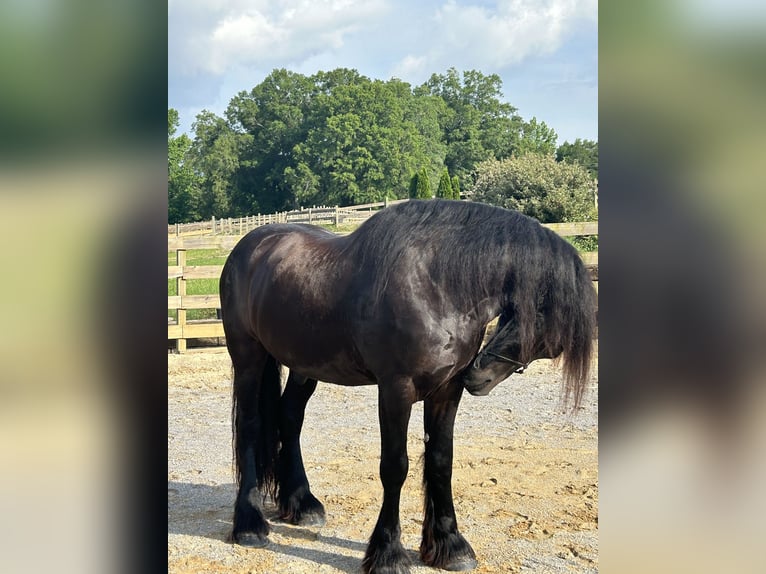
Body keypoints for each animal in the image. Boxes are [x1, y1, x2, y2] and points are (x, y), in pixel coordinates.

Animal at [219, 200, 596, 572]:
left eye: (550, 342)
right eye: (543, 323)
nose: (479, 378)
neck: (438, 284)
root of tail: (250, 246)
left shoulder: (447, 390)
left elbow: (441, 461)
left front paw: (450, 547)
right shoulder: (395, 391)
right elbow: (395, 467)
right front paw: (387, 554)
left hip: (304, 365)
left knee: (290, 418)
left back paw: (302, 504)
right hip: (248, 357)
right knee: (249, 426)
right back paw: (250, 525)